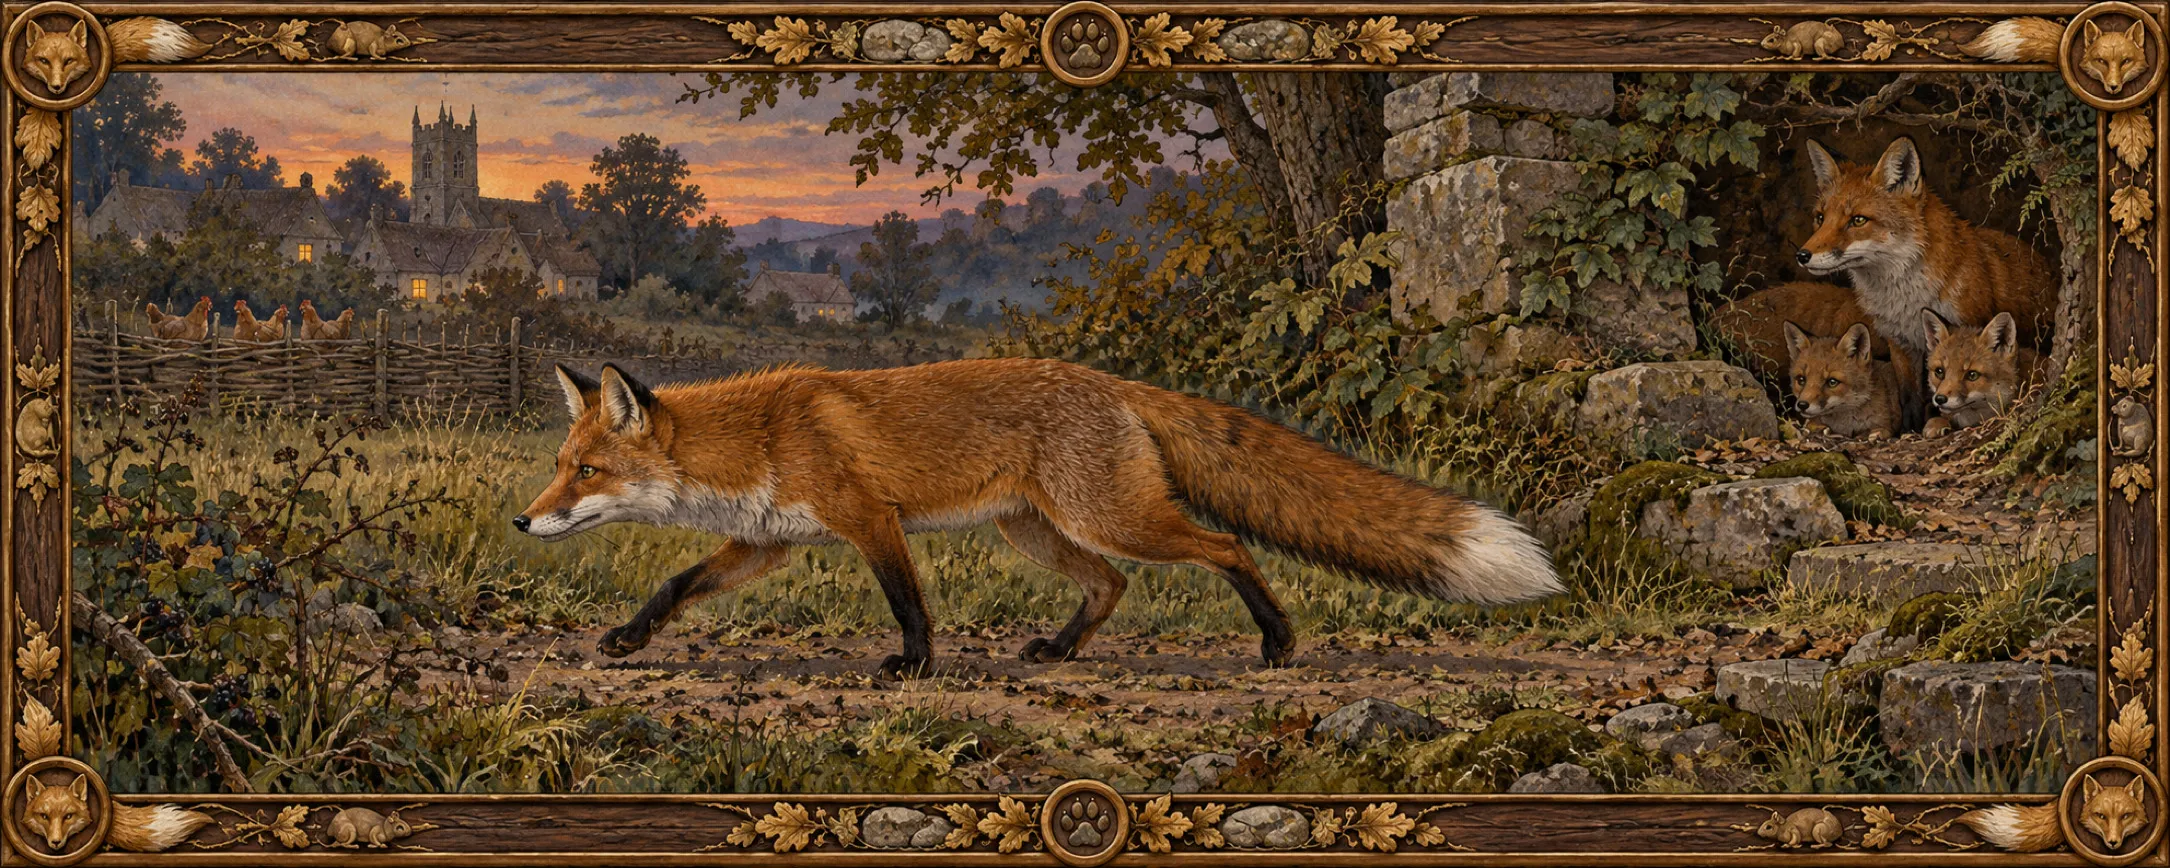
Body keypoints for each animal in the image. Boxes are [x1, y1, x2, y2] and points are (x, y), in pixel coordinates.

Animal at [515, 359, 1560, 676]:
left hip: (1113, 517)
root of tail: (1114, 383)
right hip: (1041, 532)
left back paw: (1276, 641)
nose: (524, 525)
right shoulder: (766, 544)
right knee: (1114, 586)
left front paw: (912, 668)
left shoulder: (870, 518)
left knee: (1222, 545)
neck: (762, 437)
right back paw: (1059, 650)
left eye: (585, 473)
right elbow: (675, 583)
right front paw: (627, 639)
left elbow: (908, 603)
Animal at [1796, 137, 2056, 427]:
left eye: (1858, 220)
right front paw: (1911, 430)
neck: (1907, 301)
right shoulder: (1900, 344)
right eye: (1820, 218)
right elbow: (1909, 398)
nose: (1802, 255)